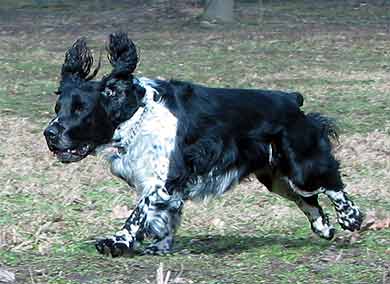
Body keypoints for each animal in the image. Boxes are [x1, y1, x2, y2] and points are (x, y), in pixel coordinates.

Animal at [43, 32, 362, 256]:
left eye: (81, 110)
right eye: (58, 108)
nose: (50, 133)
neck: (136, 115)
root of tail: (293, 100)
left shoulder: (163, 179)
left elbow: (139, 212)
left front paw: (117, 241)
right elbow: (165, 214)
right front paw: (160, 246)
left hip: (301, 165)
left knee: (330, 182)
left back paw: (351, 218)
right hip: (275, 177)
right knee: (308, 200)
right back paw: (324, 228)